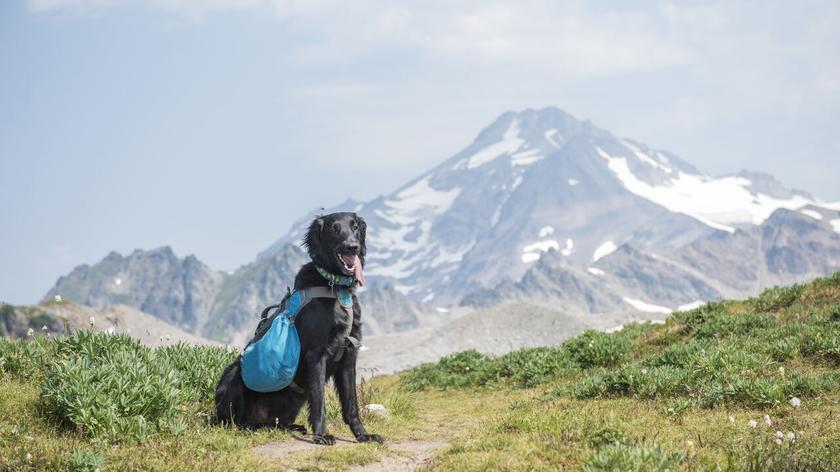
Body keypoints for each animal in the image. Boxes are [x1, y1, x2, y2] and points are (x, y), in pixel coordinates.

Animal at [212, 212, 382, 444]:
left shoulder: (349, 355)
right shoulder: (316, 355)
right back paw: (249, 426)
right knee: (235, 422)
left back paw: (289, 427)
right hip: (233, 375)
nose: (352, 247)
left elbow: (351, 405)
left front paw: (363, 435)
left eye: (355, 227)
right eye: (334, 229)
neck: (334, 287)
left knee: (274, 423)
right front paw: (322, 434)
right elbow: (319, 402)